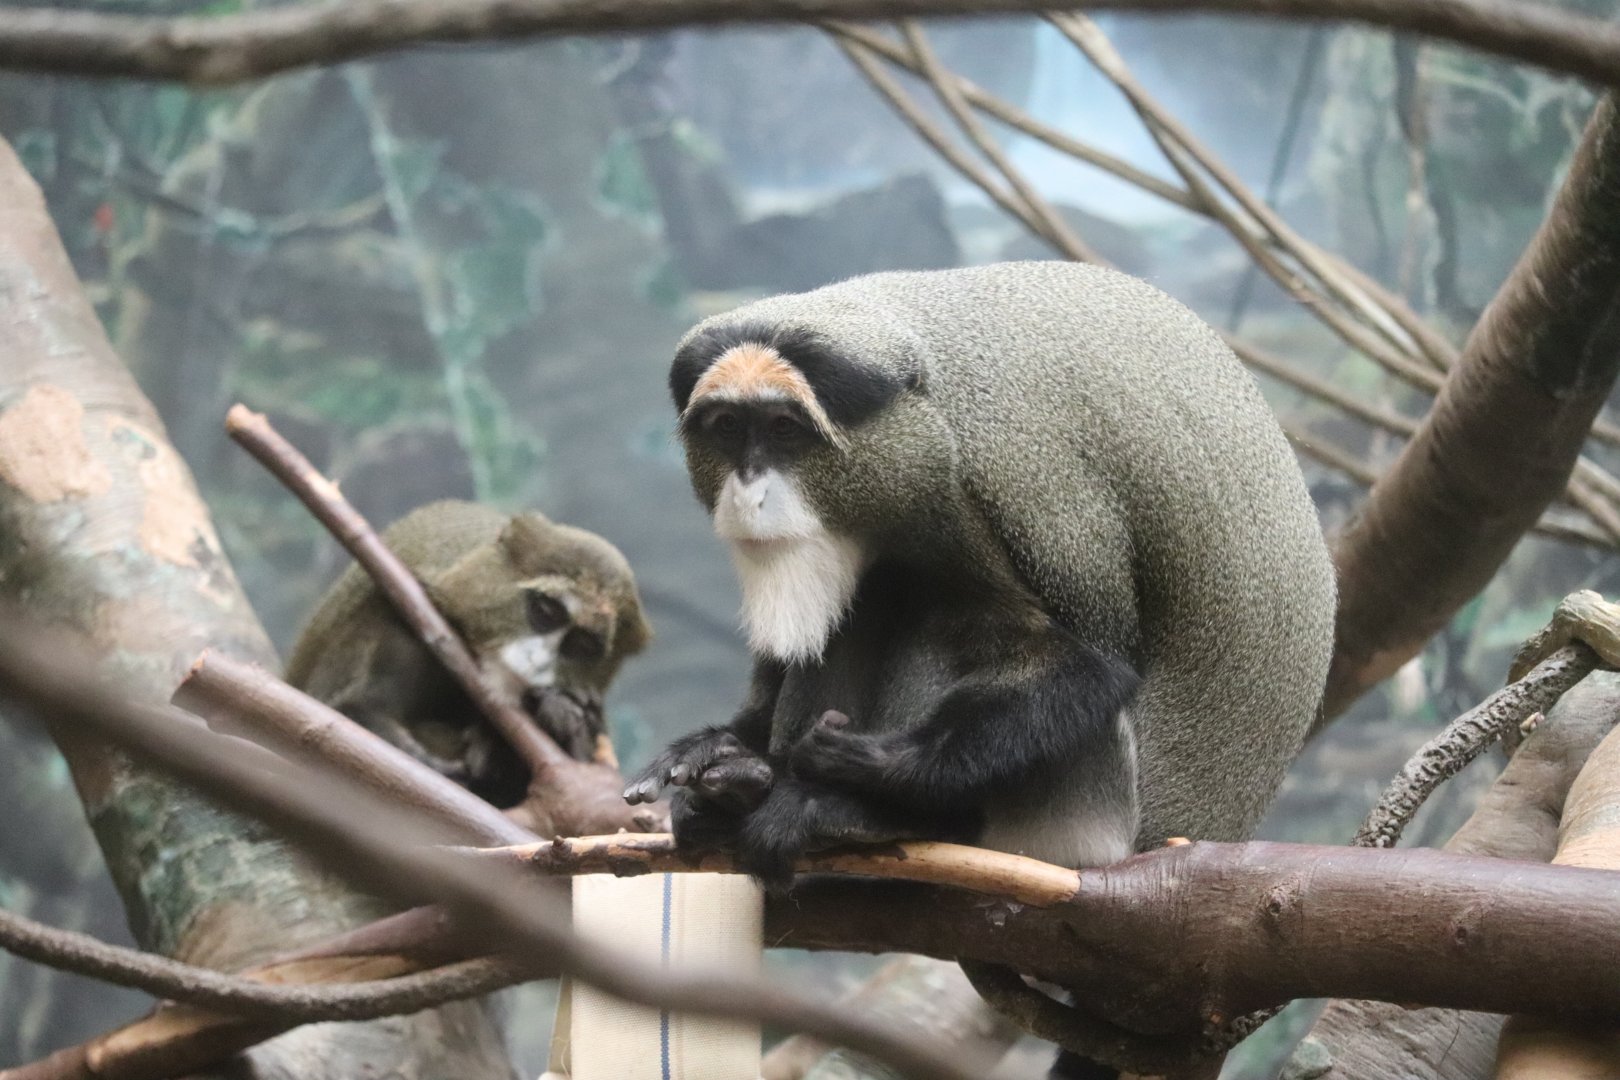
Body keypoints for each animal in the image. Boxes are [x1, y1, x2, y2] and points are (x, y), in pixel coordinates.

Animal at [625, 260, 1336, 888]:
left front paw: (872, 767)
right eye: (727, 427)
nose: (748, 493)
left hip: (1078, 827)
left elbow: (1090, 662)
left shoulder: (1026, 484)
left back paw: (867, 815)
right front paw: (717, 748)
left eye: (783, 429)